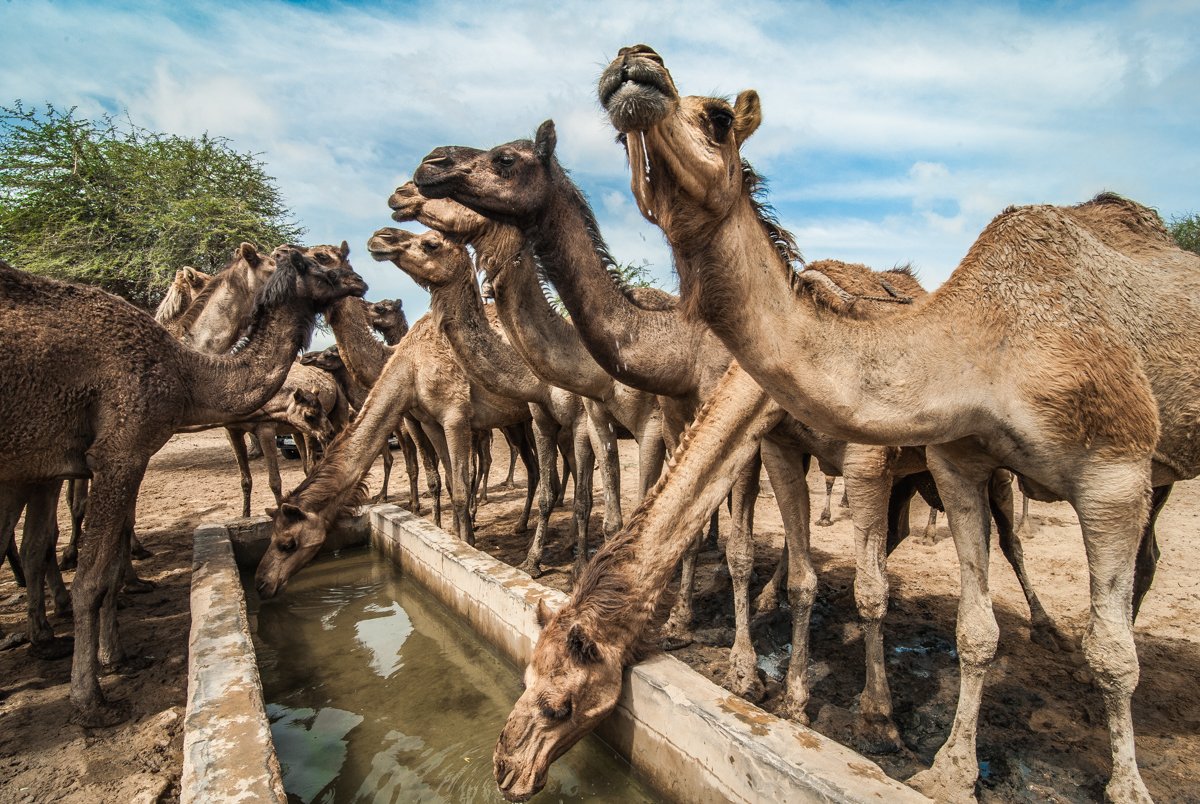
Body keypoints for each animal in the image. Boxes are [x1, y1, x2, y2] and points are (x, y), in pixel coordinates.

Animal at [1, 248, 364, 720]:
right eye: (319, 263)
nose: (358, 281)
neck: (186, 369)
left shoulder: (104, 456)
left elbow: (102, 559)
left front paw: (112, 652)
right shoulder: (120, 449)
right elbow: (94, 573)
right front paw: (92, 697)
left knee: (29, 543)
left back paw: (44, 636)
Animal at [258, 312, 540, 602]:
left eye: (287, 543)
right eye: (270, 537)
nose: (261, 583)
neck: (410, 368)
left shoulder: (456, 415)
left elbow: (461, 488)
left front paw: (467, 545)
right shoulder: (431, 422)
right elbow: (450, 483)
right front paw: (455, 536)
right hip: (518, 419)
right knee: (534, 468)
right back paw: (521, 525)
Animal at [592, 45, 1200, 804]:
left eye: (720, 117)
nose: (632, 64)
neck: (983, 342)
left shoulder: (1113, 467)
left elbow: (1112, 653)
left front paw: (1125, 786)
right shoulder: (957, 460)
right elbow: (974, 631)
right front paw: (950, 769)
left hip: (1142, 467)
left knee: (1115, 578)